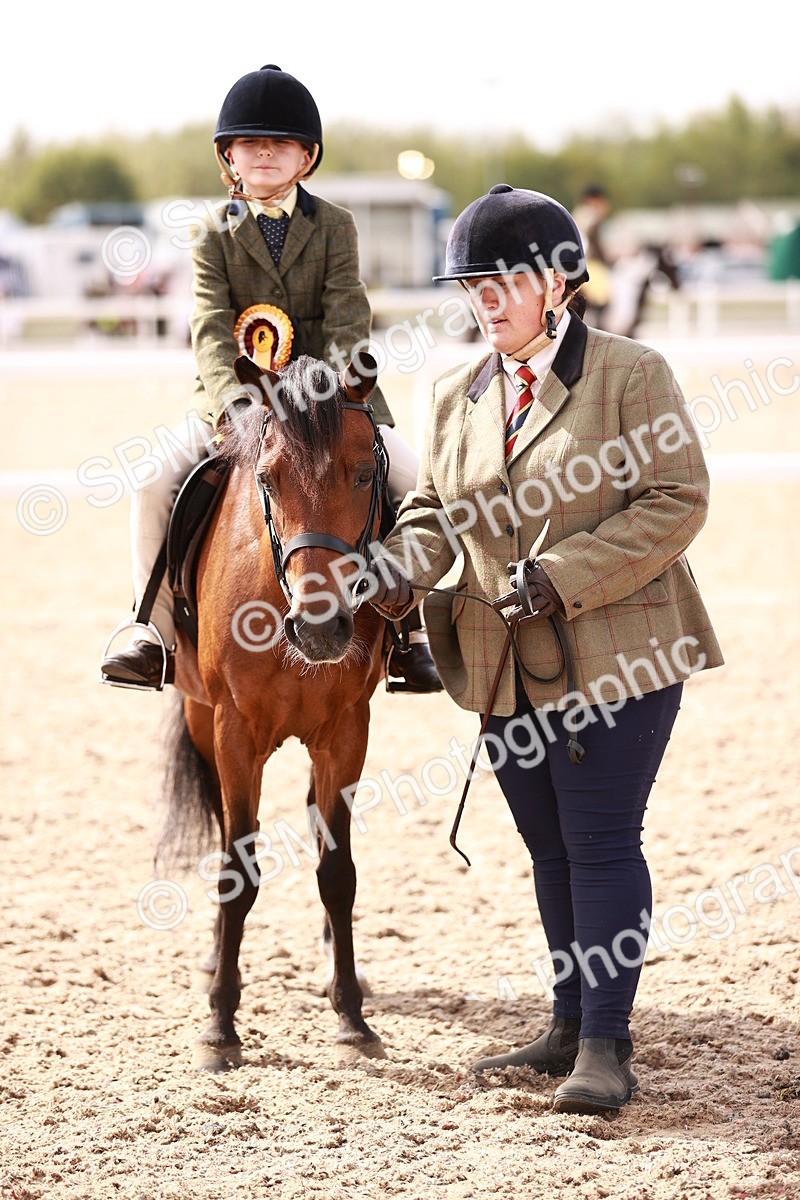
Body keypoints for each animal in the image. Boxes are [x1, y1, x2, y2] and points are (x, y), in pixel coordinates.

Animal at [163, 351, 388, 1071]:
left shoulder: (346, 730)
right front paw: (220, 1024)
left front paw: (351, 1015)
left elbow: (337, 872)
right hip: (201, 718)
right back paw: (215, 961)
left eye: (365, 472)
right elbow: (237, 869)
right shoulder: (234, 732)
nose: (318, 629)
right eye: (268, 478)